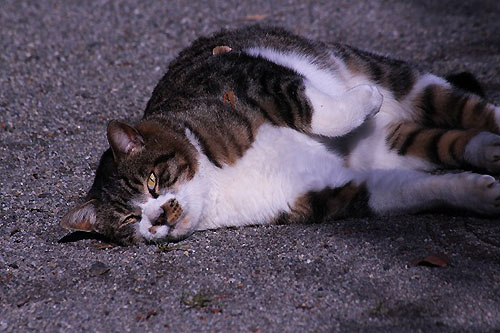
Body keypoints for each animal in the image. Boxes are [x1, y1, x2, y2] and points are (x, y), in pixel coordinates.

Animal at [61, 26, 500, 244]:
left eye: (152, 182)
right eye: (129, 219)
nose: (156, 218)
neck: (215, 180)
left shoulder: (245, 76)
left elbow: (309, 104)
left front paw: (362, 101)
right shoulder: (332, 190)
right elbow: (413, 191)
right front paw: (476, 193)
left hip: (401, 79)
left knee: (464, 107)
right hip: (390, 144)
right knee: (445, 142)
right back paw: (488, 150)